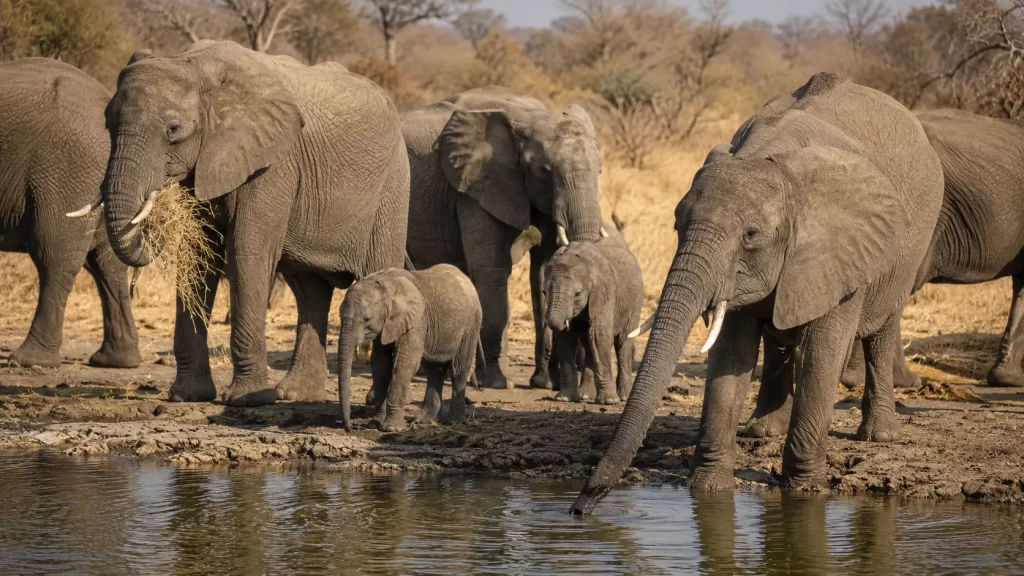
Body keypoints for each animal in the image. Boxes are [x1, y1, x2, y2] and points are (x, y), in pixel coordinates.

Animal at [70, 41, 409, 406]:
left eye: (173, 130)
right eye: (108, 124)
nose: (153, 217)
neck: (195, 64)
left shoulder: (274, 162)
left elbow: (247, 252)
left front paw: (247, 399)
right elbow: (198, 256)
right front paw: (187, 396)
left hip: (392, 187)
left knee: (376, 273)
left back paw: (374, 400)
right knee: (310, 290)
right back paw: (296, 394)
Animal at [337, 264, 481, 432]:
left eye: (367, 319)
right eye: (339, 316)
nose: (349, 428)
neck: (386, 285)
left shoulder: (417, 320)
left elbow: (405, 363)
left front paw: (392, 428)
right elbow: (380, 364)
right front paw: (375, 423)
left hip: (471, 324)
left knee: (458, 369)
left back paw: (454, 422)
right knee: (434, 370)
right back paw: (422, 420)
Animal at [402, 86, 605, 391]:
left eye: (600, 170)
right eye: (546, 171)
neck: (529, 117)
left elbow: (544, 270)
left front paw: (544, 384)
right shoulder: (475, 186)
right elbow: (492, 270)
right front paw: (497, 383)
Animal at [543, 228, 643, 404]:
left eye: (577, 294)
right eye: (544, 292)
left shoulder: (605, 292)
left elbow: (599, 336)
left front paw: (609, 401)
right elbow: (564, 339)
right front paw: (565, 398)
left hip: (635, 300)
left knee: (623, 343)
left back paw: (623, 396)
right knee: (588, 344)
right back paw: (585, 395)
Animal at [571, 73, 945, 514]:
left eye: (751, 235)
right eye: (677, 224)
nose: (579, 507)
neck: (775, 160)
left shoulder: (840, 250)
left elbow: (823, 350)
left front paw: (806, 492)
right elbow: (732, 352)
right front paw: (709, 488)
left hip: (910, 246)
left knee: (881, 331)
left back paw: (878, 436)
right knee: (778, 339)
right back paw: (762, 431)